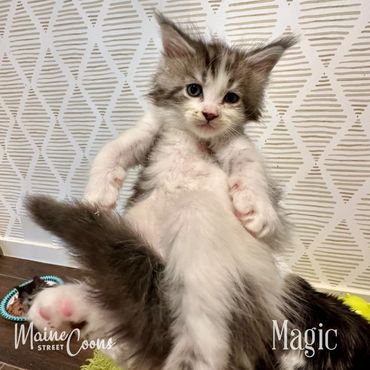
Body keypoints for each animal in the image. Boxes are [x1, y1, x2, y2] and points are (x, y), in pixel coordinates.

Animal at [26, 13, 370, 370]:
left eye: (231, 97)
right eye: (194, 90)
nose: (209, 113)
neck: (193, 138)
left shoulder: (235, 143)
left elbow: (251, 167)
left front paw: (260, 213)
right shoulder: (152, 130)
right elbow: (112, 150)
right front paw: (96, 197)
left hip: (202, 240)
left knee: (191, 323)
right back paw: (61, 310)